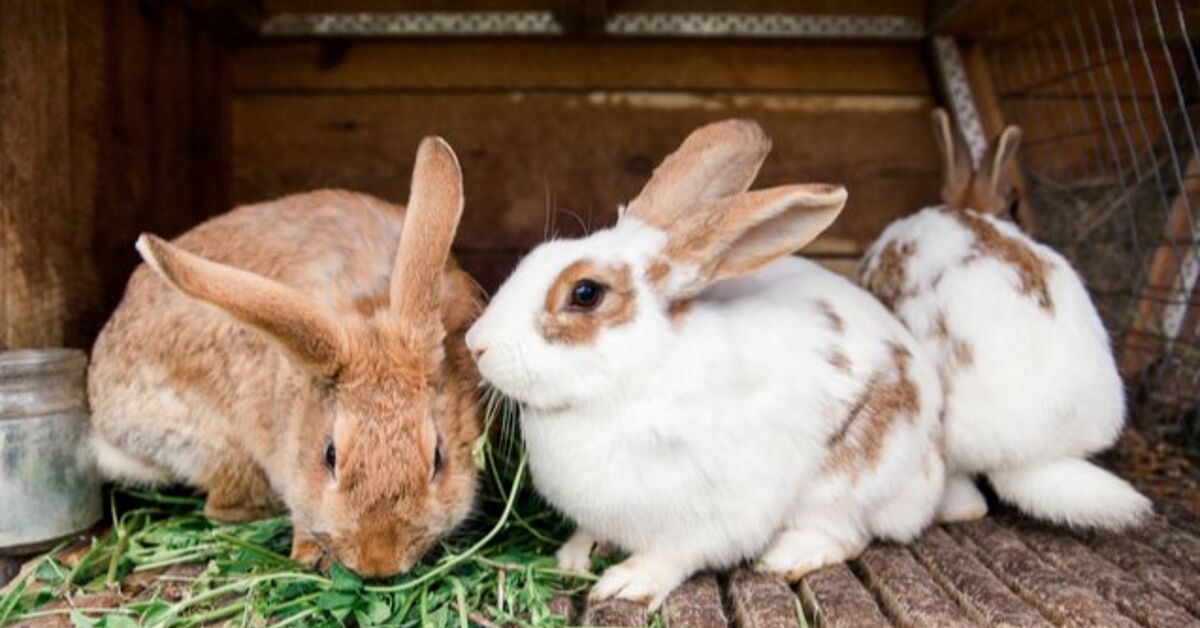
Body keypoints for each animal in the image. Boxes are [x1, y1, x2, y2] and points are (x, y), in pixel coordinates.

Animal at [465, 119, 946, 609]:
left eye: (586, 293)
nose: (476, 344)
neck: (631, 379)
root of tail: (932, 469)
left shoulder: (710, 517)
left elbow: (673, 556)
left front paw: (627, 583)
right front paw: (575, 555)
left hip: (846, 482)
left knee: (847, 533)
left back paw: (785, 557)